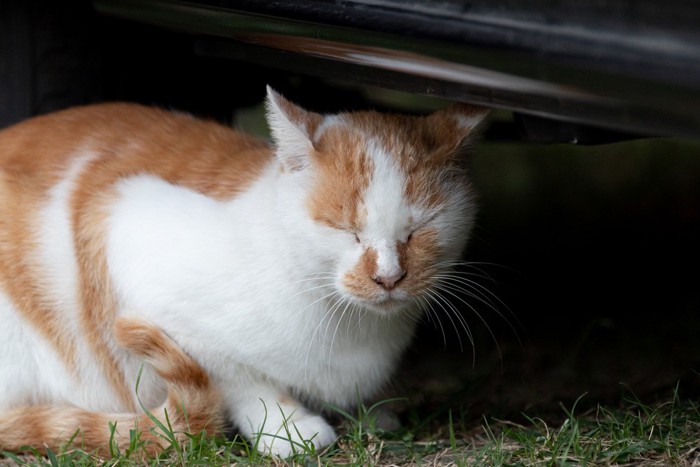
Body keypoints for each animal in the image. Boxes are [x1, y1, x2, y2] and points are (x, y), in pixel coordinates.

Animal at [0, 86, 486, 458]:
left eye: (418, 229)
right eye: (346, 231)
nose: (388, 277)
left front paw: (373, 410)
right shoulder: (122, 226)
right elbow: (237, 377)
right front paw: (288, 426)